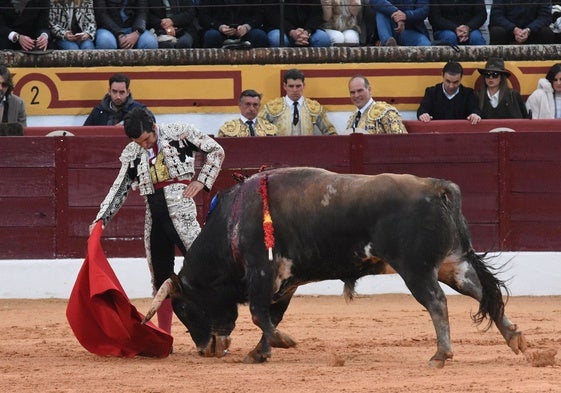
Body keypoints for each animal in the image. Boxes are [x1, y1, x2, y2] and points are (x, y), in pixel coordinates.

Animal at [143, 167, 524, 366]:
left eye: (184, 309)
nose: (204, 350)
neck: (232, 226)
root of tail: (437, 187)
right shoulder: (285, 281)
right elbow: (270, 315)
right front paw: (261, 351)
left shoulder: (261, 272)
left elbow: (258, 314)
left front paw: (282, 342)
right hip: (452, 263)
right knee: (482, 292)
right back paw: (515, 338)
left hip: (415, 269)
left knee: (437, 302)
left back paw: (441, 354)